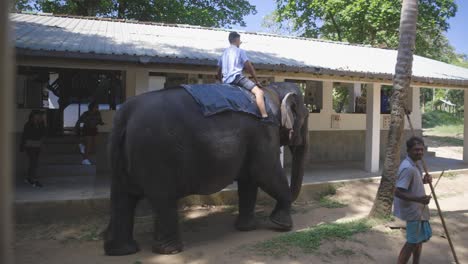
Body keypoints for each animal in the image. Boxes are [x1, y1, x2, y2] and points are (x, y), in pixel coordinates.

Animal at [104, 82, 308, 256]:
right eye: (305, 117)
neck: (272, 90)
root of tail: (125, 115)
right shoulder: (265, 131)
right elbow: (265, 172)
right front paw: (282, 226)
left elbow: (249, 180)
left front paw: (247, 228)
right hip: (157, 155)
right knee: (162, 198)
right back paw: (169, 251)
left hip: (121, 156)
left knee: (122, 197)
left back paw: (121, 250)